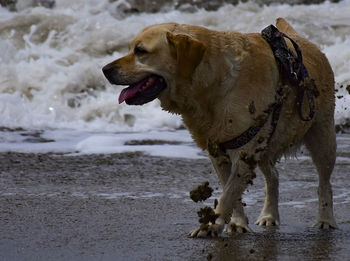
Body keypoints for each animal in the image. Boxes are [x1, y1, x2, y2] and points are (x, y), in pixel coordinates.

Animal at [102, 17, 338, 237]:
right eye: (130, 48)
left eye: (141, 51)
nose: (105, 69)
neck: (210, 83)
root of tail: (301, 39)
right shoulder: (218, 150)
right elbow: (231, 191)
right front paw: (237, 223)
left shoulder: (244, 150)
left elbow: (229, 194)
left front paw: (209, 226)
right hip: (265, 143)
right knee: (273, 176)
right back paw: (269, 215)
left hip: (322, 136)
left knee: (324, 183)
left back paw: (325, 220)